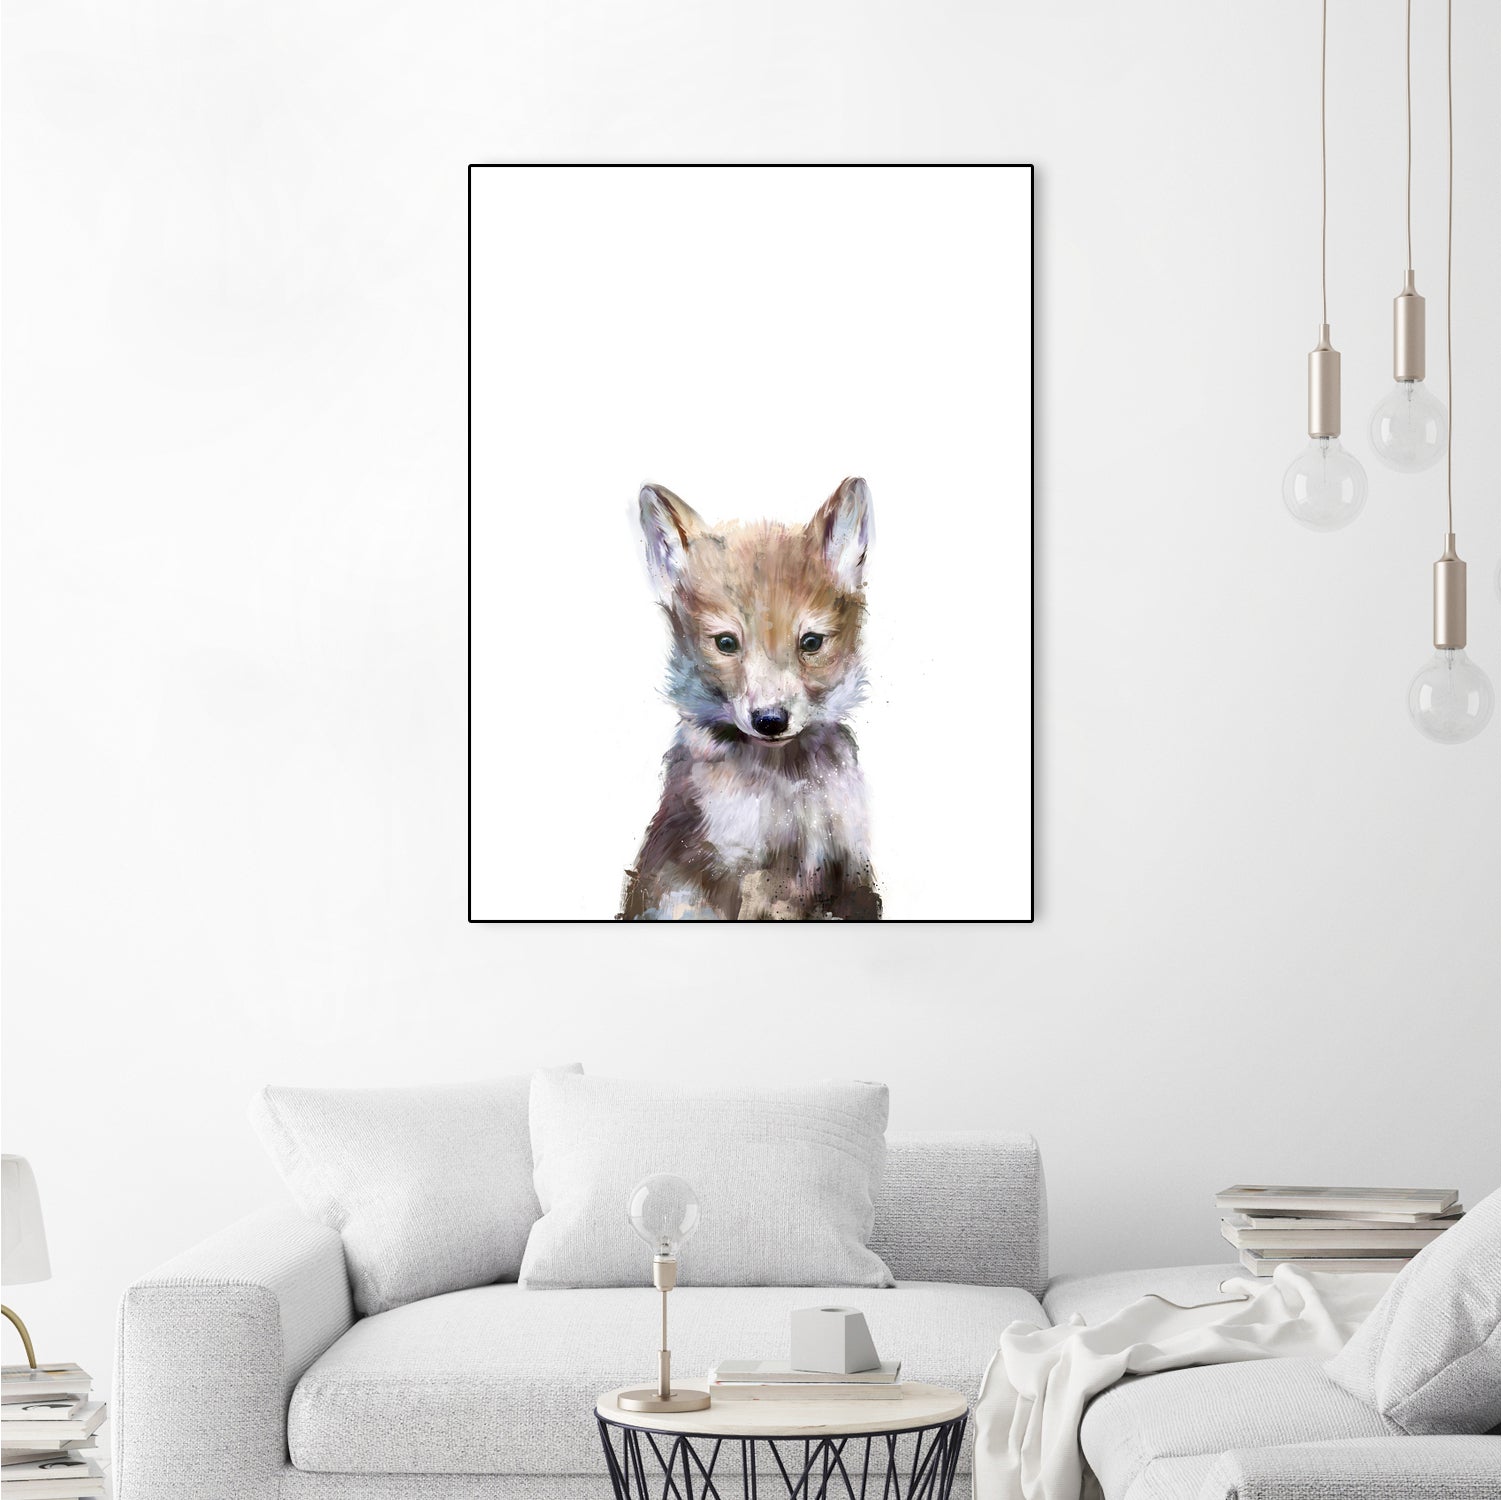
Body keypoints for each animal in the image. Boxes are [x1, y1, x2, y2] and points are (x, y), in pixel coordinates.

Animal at [619, 477, 882, 921]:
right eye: (726, 643)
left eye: (811, 642)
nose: (770, 721)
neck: (787, 789)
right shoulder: (742, 873)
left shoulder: (848, 869)